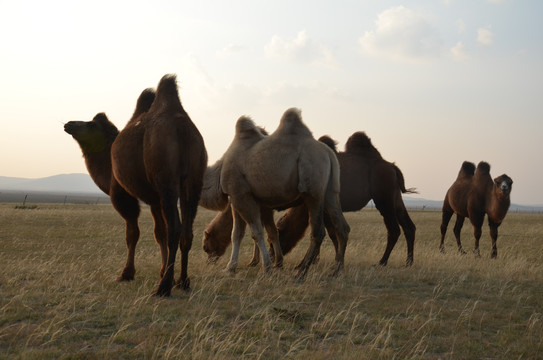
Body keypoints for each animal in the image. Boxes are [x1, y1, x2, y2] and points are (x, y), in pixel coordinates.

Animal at [64, 74, 208, 296]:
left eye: (91, 124)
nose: (69, 124)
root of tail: (183, 129)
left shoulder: (122, 194)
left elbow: (132, 233)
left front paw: (126, 273)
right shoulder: (155, 199)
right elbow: (159, 233)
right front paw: (162, 271)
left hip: (166, 177)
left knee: (175, 228)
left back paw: (163, 287)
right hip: (193, 181)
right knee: (186, 230)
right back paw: (183, 282)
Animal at [199, 108, 348, 278]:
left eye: (205, 247)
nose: (209, 261)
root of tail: (329, 154)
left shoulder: (242, 196)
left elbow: (257, 233)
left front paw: (267, 268)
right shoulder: (237, 200)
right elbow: (237, 234)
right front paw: (230, 268)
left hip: (313, 188)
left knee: (318, 231)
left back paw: (301, 272)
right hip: (331, 191)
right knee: (341, 227)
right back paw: (337, 271)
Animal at [202, 132, 418, 268]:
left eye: (206, 245)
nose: (209, 259)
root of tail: (392, 166)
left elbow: (325, 233)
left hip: (383, 197)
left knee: (394, 229)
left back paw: (382, 261)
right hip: (394, 196)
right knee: (409, 225)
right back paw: (408, 262)